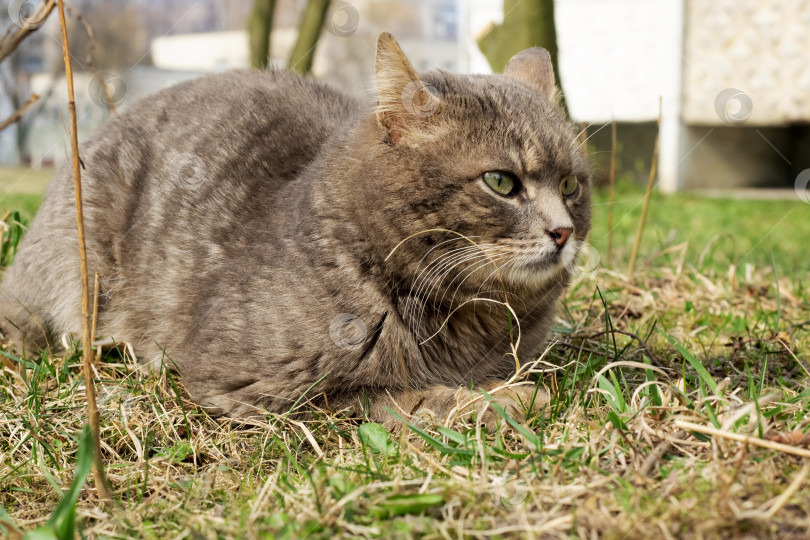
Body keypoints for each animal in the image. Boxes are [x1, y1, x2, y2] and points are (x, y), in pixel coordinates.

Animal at [0, 33, 588, 424]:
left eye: (571, 186)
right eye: (501, 182)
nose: (562, 232)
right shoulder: (256, 387)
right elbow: (397, 395)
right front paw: (503, 398)